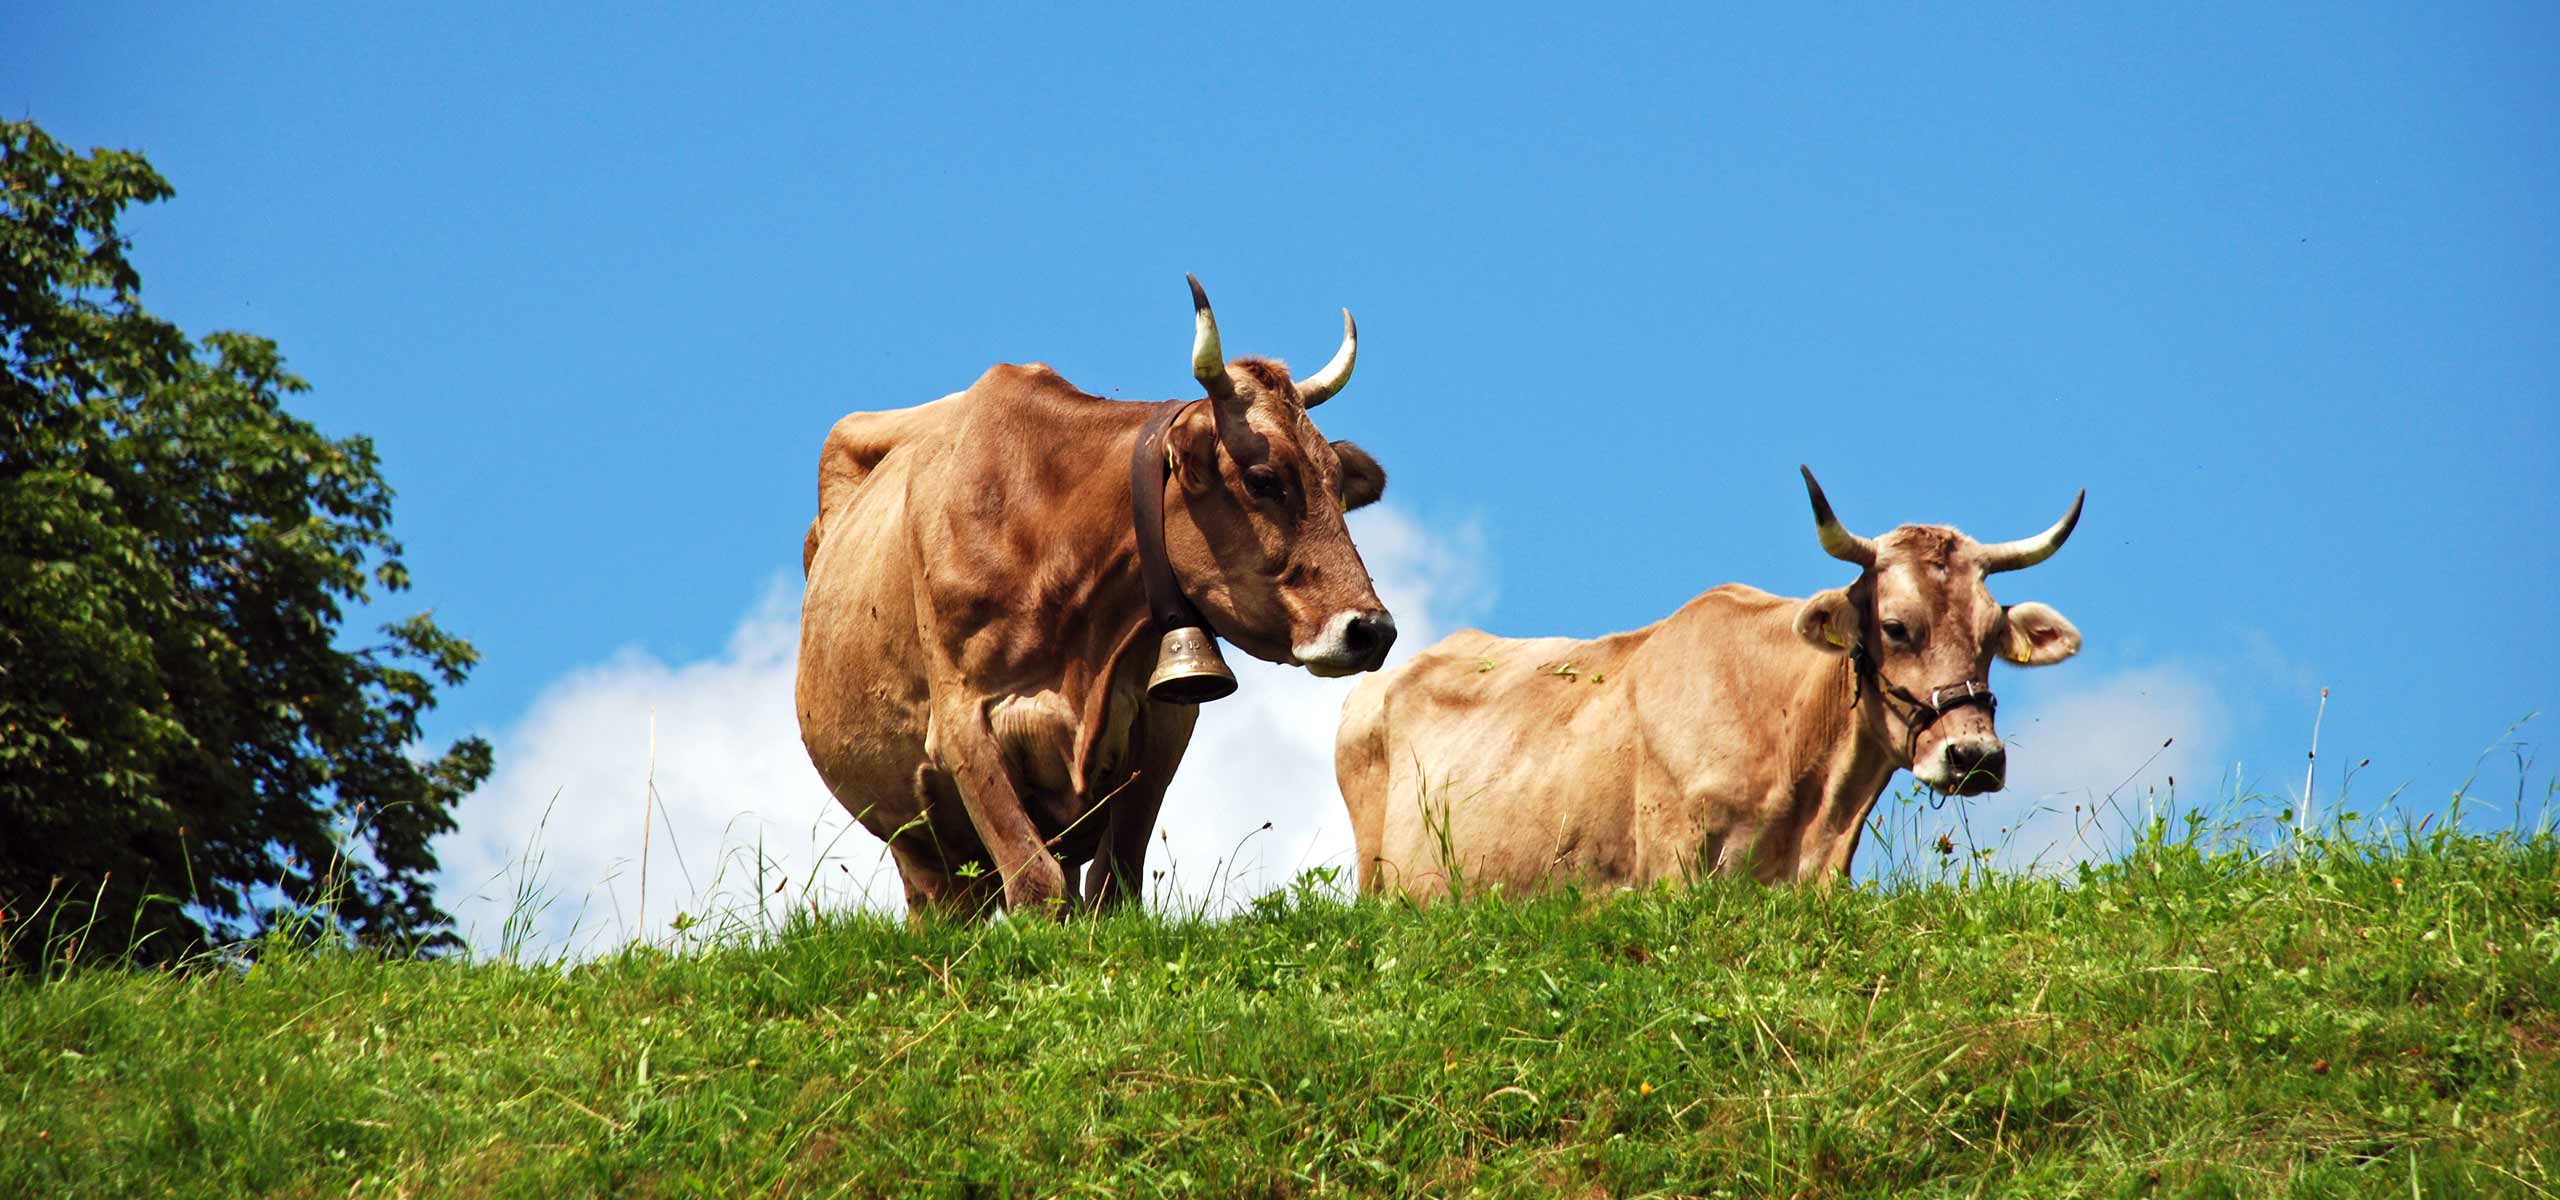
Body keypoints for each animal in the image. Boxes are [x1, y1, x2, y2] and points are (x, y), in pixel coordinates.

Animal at [797, 278, 1396, 918]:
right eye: (1263, 479)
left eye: (1336, 483)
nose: (1372, 630)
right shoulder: (961, 720)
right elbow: (1036, 881)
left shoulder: (1163, 721)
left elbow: (1115, 882)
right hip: (918, 846)